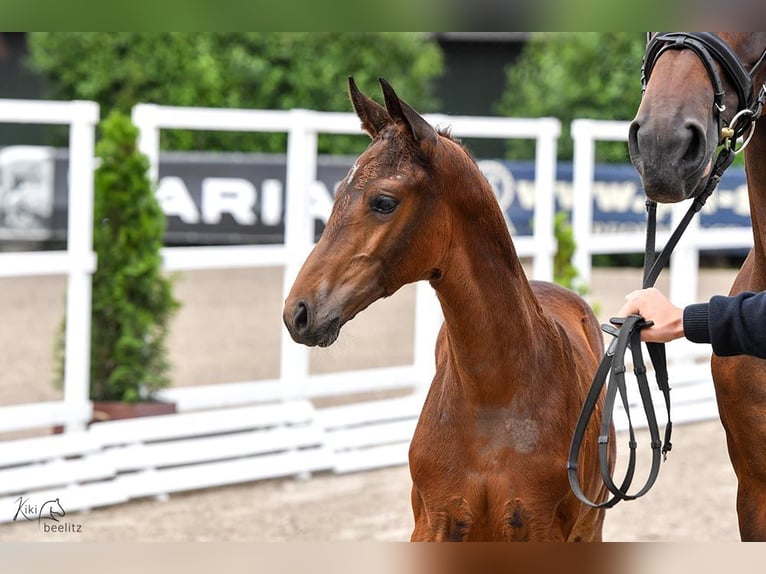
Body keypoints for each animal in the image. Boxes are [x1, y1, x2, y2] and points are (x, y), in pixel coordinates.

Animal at [284, 79, 616, 544]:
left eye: (384, 201)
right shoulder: (434, 525)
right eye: (336, 195)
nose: (299, 311)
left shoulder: (543, 530)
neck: (493, 398)